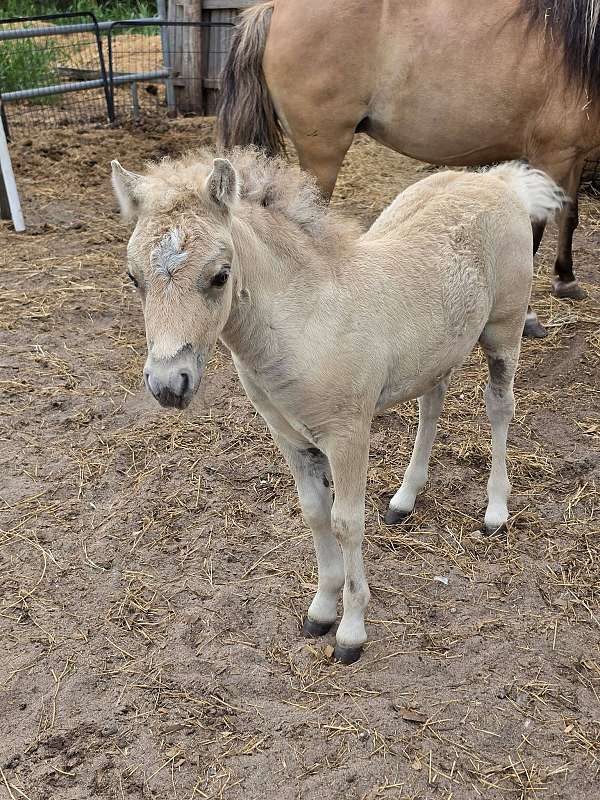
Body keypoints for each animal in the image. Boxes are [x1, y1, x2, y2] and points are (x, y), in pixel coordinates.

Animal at [111, 148, 563, 662]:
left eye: (220, 276)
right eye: (133, 277)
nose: (169, 384)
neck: (306, 320)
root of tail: (498, 181)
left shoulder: (348, 435)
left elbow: (346, 522)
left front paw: (350, 630)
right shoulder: (289, 436)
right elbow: (314, 513)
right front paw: (320, 611)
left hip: (504, 329)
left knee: (499, 407)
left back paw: (496, 510)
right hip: (437, 350)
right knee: (432, 403)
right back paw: (404, 499)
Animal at [217, 0, 600, 337]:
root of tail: (273, 7)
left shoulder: (574, 157)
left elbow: (569, 215)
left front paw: (566, 279)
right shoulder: (550, 157)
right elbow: (534, 231)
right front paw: (529, 315)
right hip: (323, 151)